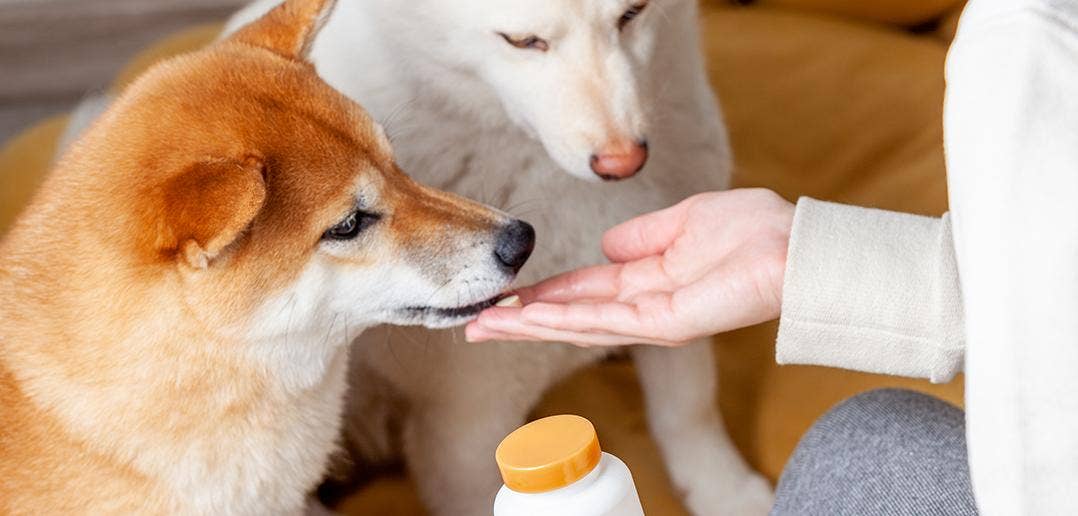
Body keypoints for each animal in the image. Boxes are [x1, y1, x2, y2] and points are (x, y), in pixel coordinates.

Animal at [218, 2, 771, 514]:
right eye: (523, 41)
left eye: (632, 15)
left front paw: (725, 491)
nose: (623, 162)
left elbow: (689, 409)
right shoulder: (465, 427)